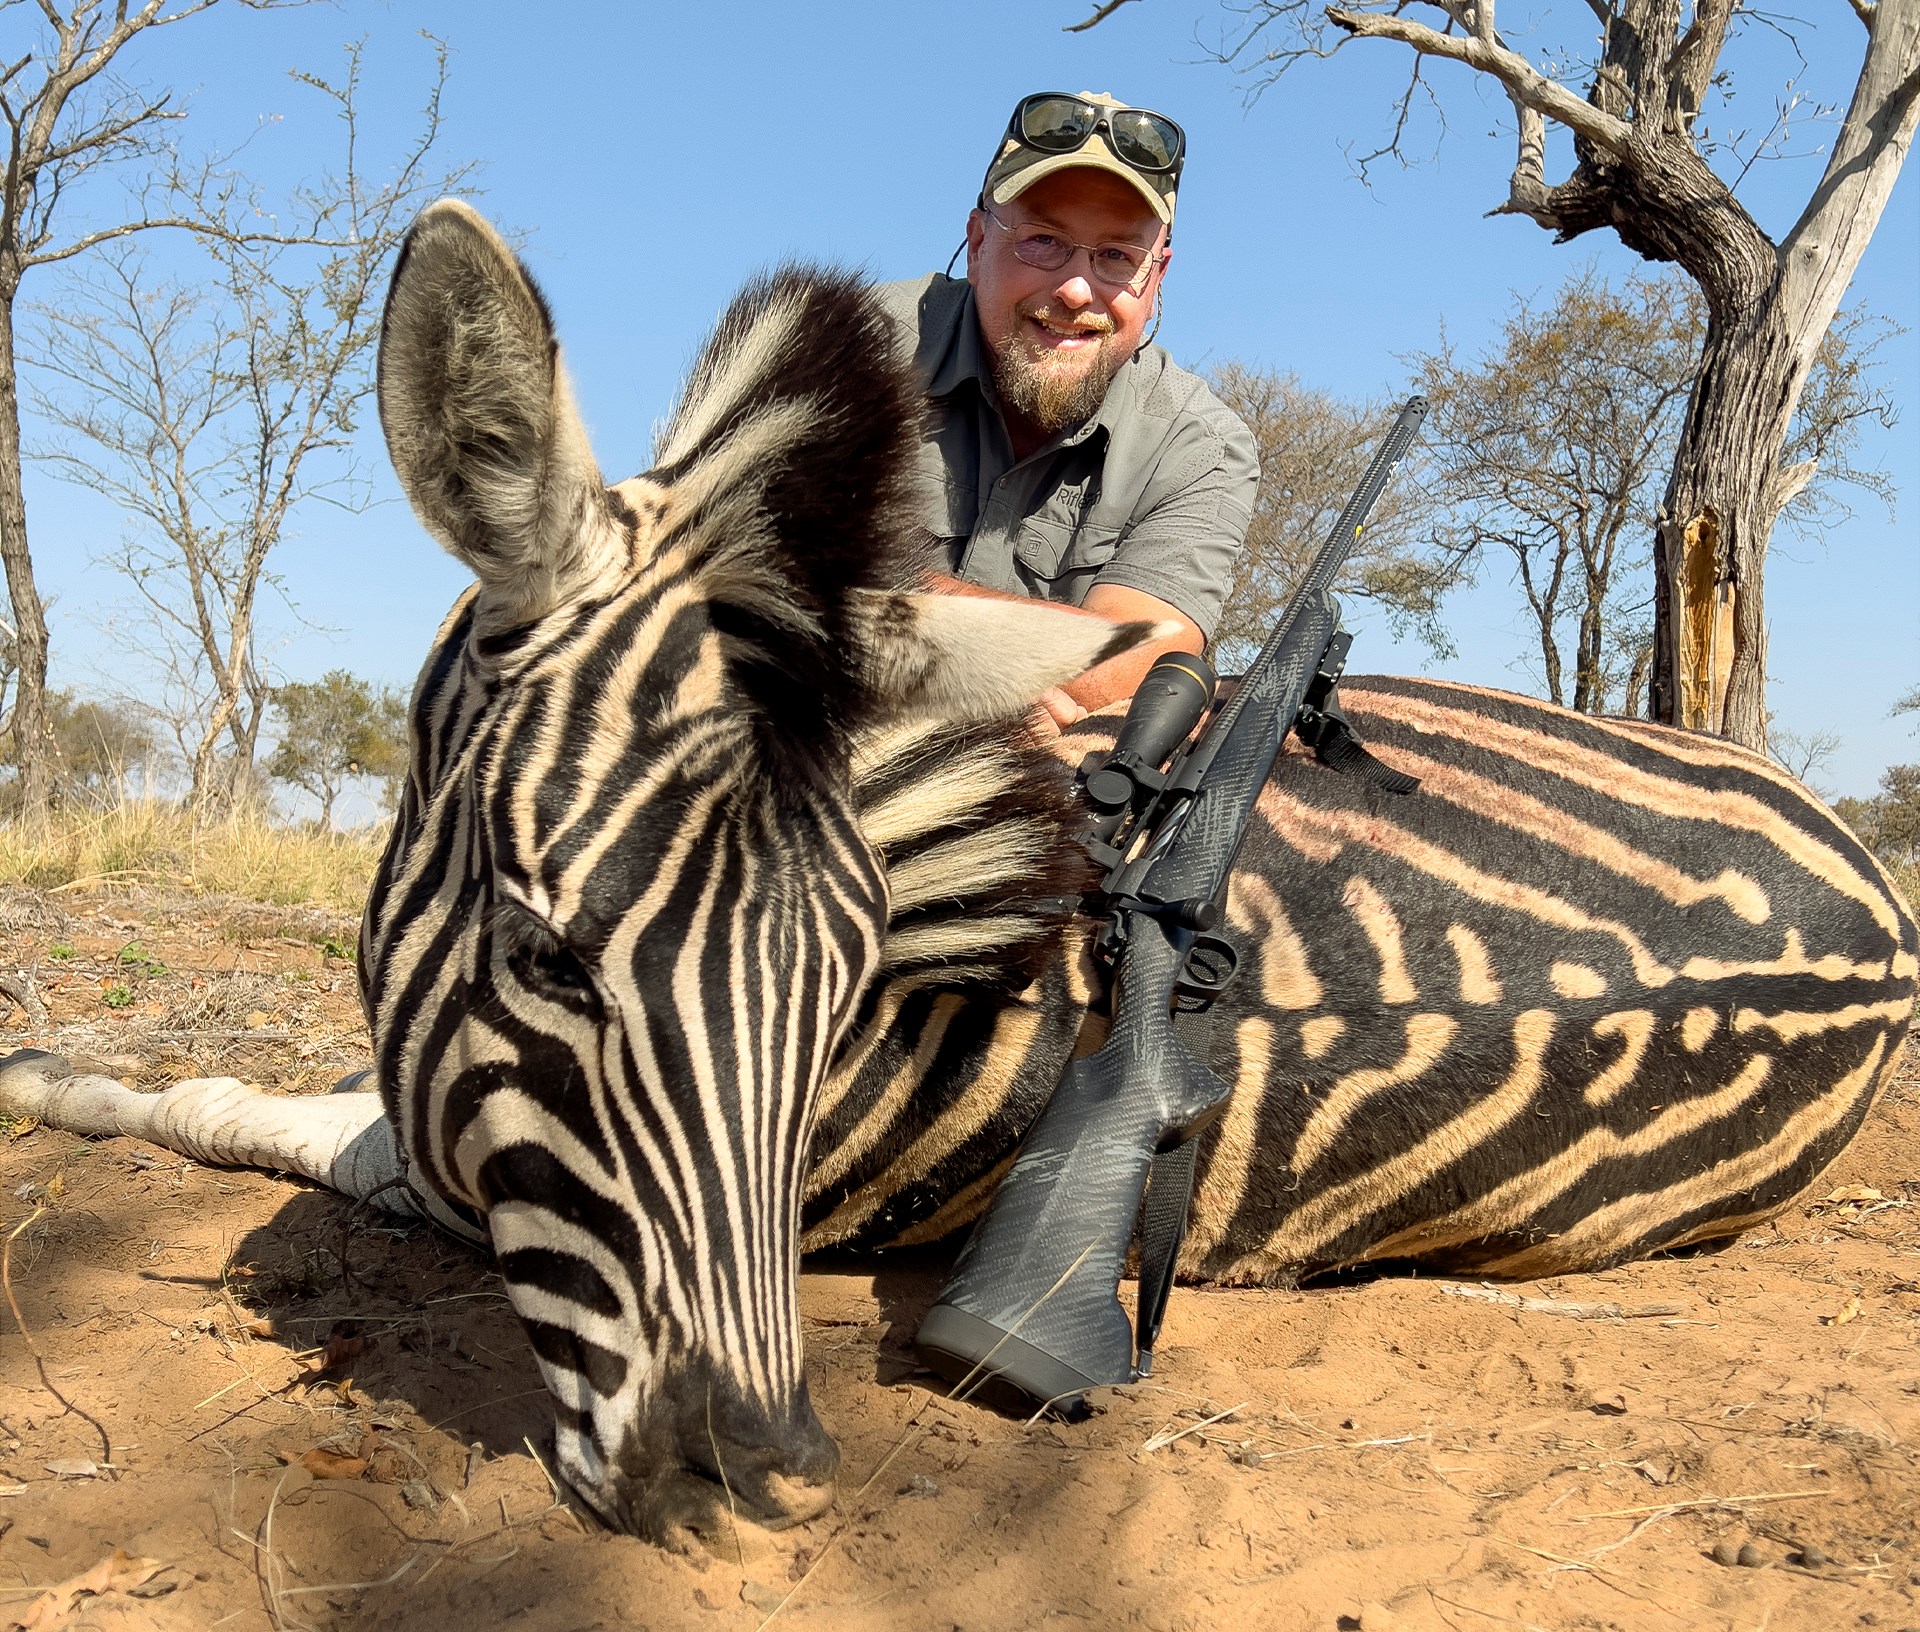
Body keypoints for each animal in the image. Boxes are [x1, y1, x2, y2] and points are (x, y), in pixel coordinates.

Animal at [3, 198, 1911, 1553]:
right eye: (542, 953)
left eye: (841, 987)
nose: (758, 1481)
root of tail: (1879, 922)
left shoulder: (433, 1161)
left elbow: (226, 1109)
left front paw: (43, 1068)